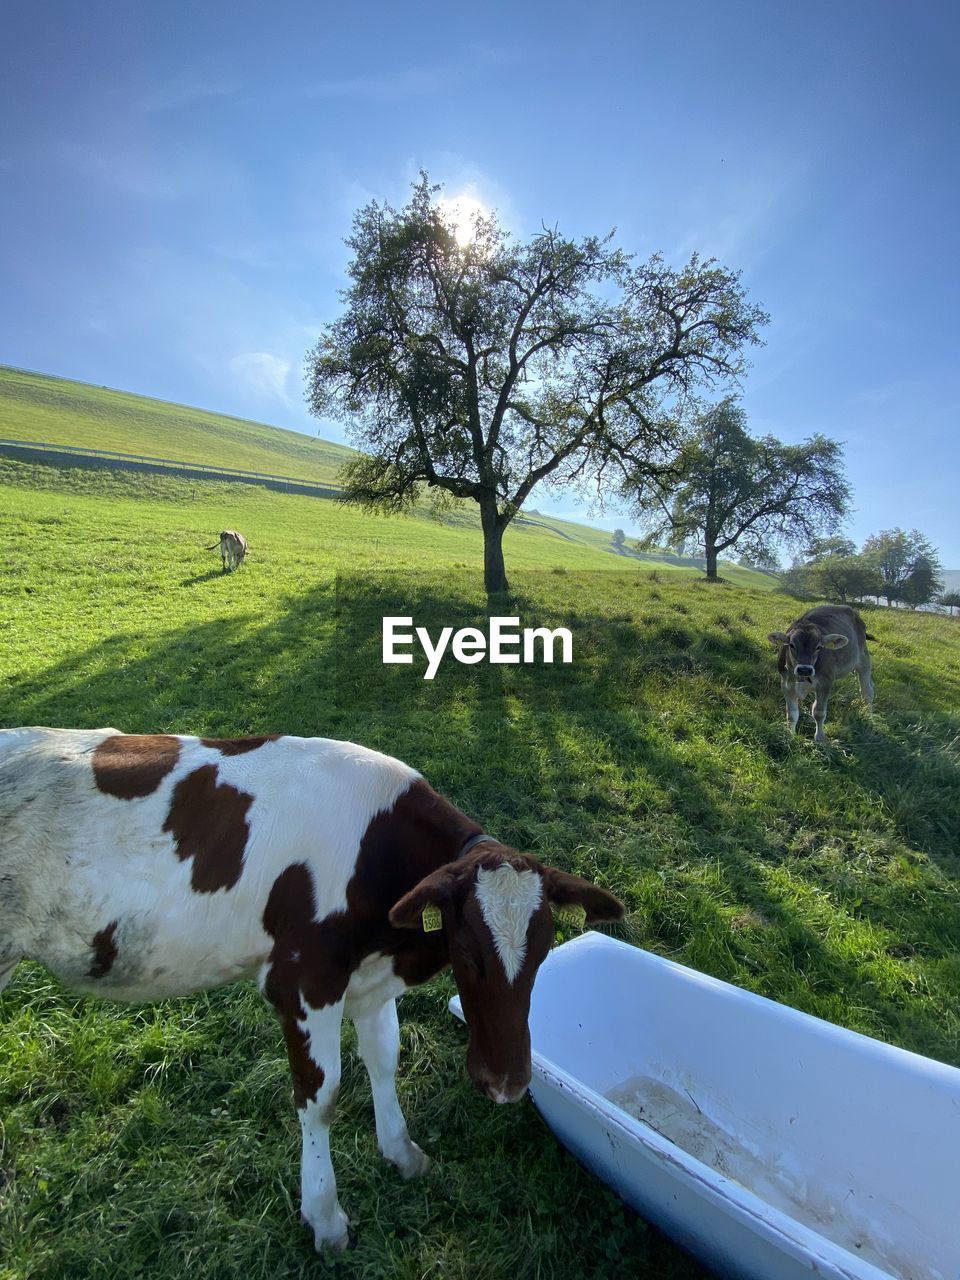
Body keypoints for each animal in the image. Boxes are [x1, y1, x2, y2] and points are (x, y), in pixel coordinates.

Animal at [0, 732, 624, 1249]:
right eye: (468, 955)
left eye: (543, 951)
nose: (509, 1083)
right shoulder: (304, 977)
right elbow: (320, 1098)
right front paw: (325, 1217)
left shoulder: (369, 978)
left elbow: (385, 1059)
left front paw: (401, 1152)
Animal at [768, 604, 880, 747]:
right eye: (791, 645)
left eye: (818, 647)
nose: (804, 669)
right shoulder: (786, 683)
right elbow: (792, 714)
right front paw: (790, 735)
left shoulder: (825, 682)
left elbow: (819, 712)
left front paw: (820, 739)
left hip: (863, 658)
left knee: (867, 691)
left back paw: (868, 715)